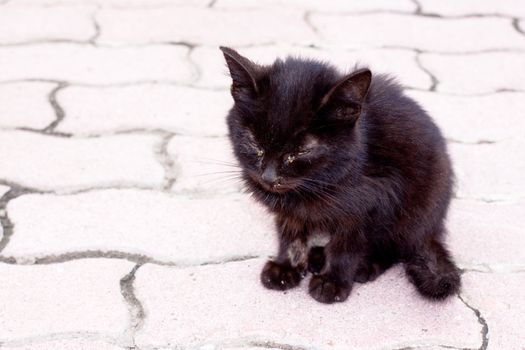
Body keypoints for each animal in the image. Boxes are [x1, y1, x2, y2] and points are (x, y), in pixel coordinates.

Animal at [220, 46, 458, 304]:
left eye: (302, 150)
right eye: (254, 142)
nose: (269, 177)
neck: (320, 181)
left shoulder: (374, 201)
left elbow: (348, 245)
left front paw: (332, 281)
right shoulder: (289, 211)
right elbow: (291, 233)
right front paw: (286, 267)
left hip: (417, 207)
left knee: (399, 245)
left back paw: (364, 266)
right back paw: (317, 255)